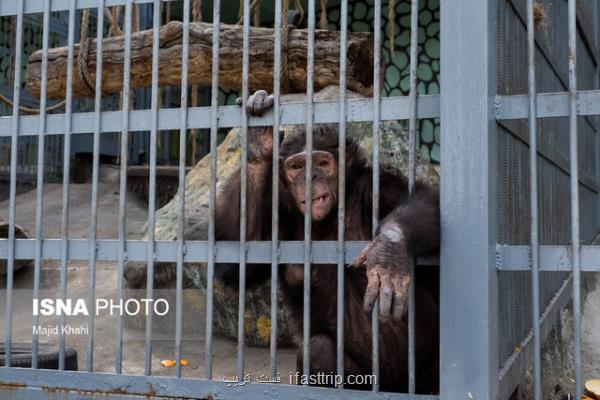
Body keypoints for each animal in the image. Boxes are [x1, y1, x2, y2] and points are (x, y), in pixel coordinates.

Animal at [216, 89, 440, 392]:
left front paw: (388, 253)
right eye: (297, 166)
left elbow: (432, 202)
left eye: (322, 162)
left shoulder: (379, 188)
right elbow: (237, 260)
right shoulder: (282, 220)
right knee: (318, 350)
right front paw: (257, 141)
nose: (309, 176)